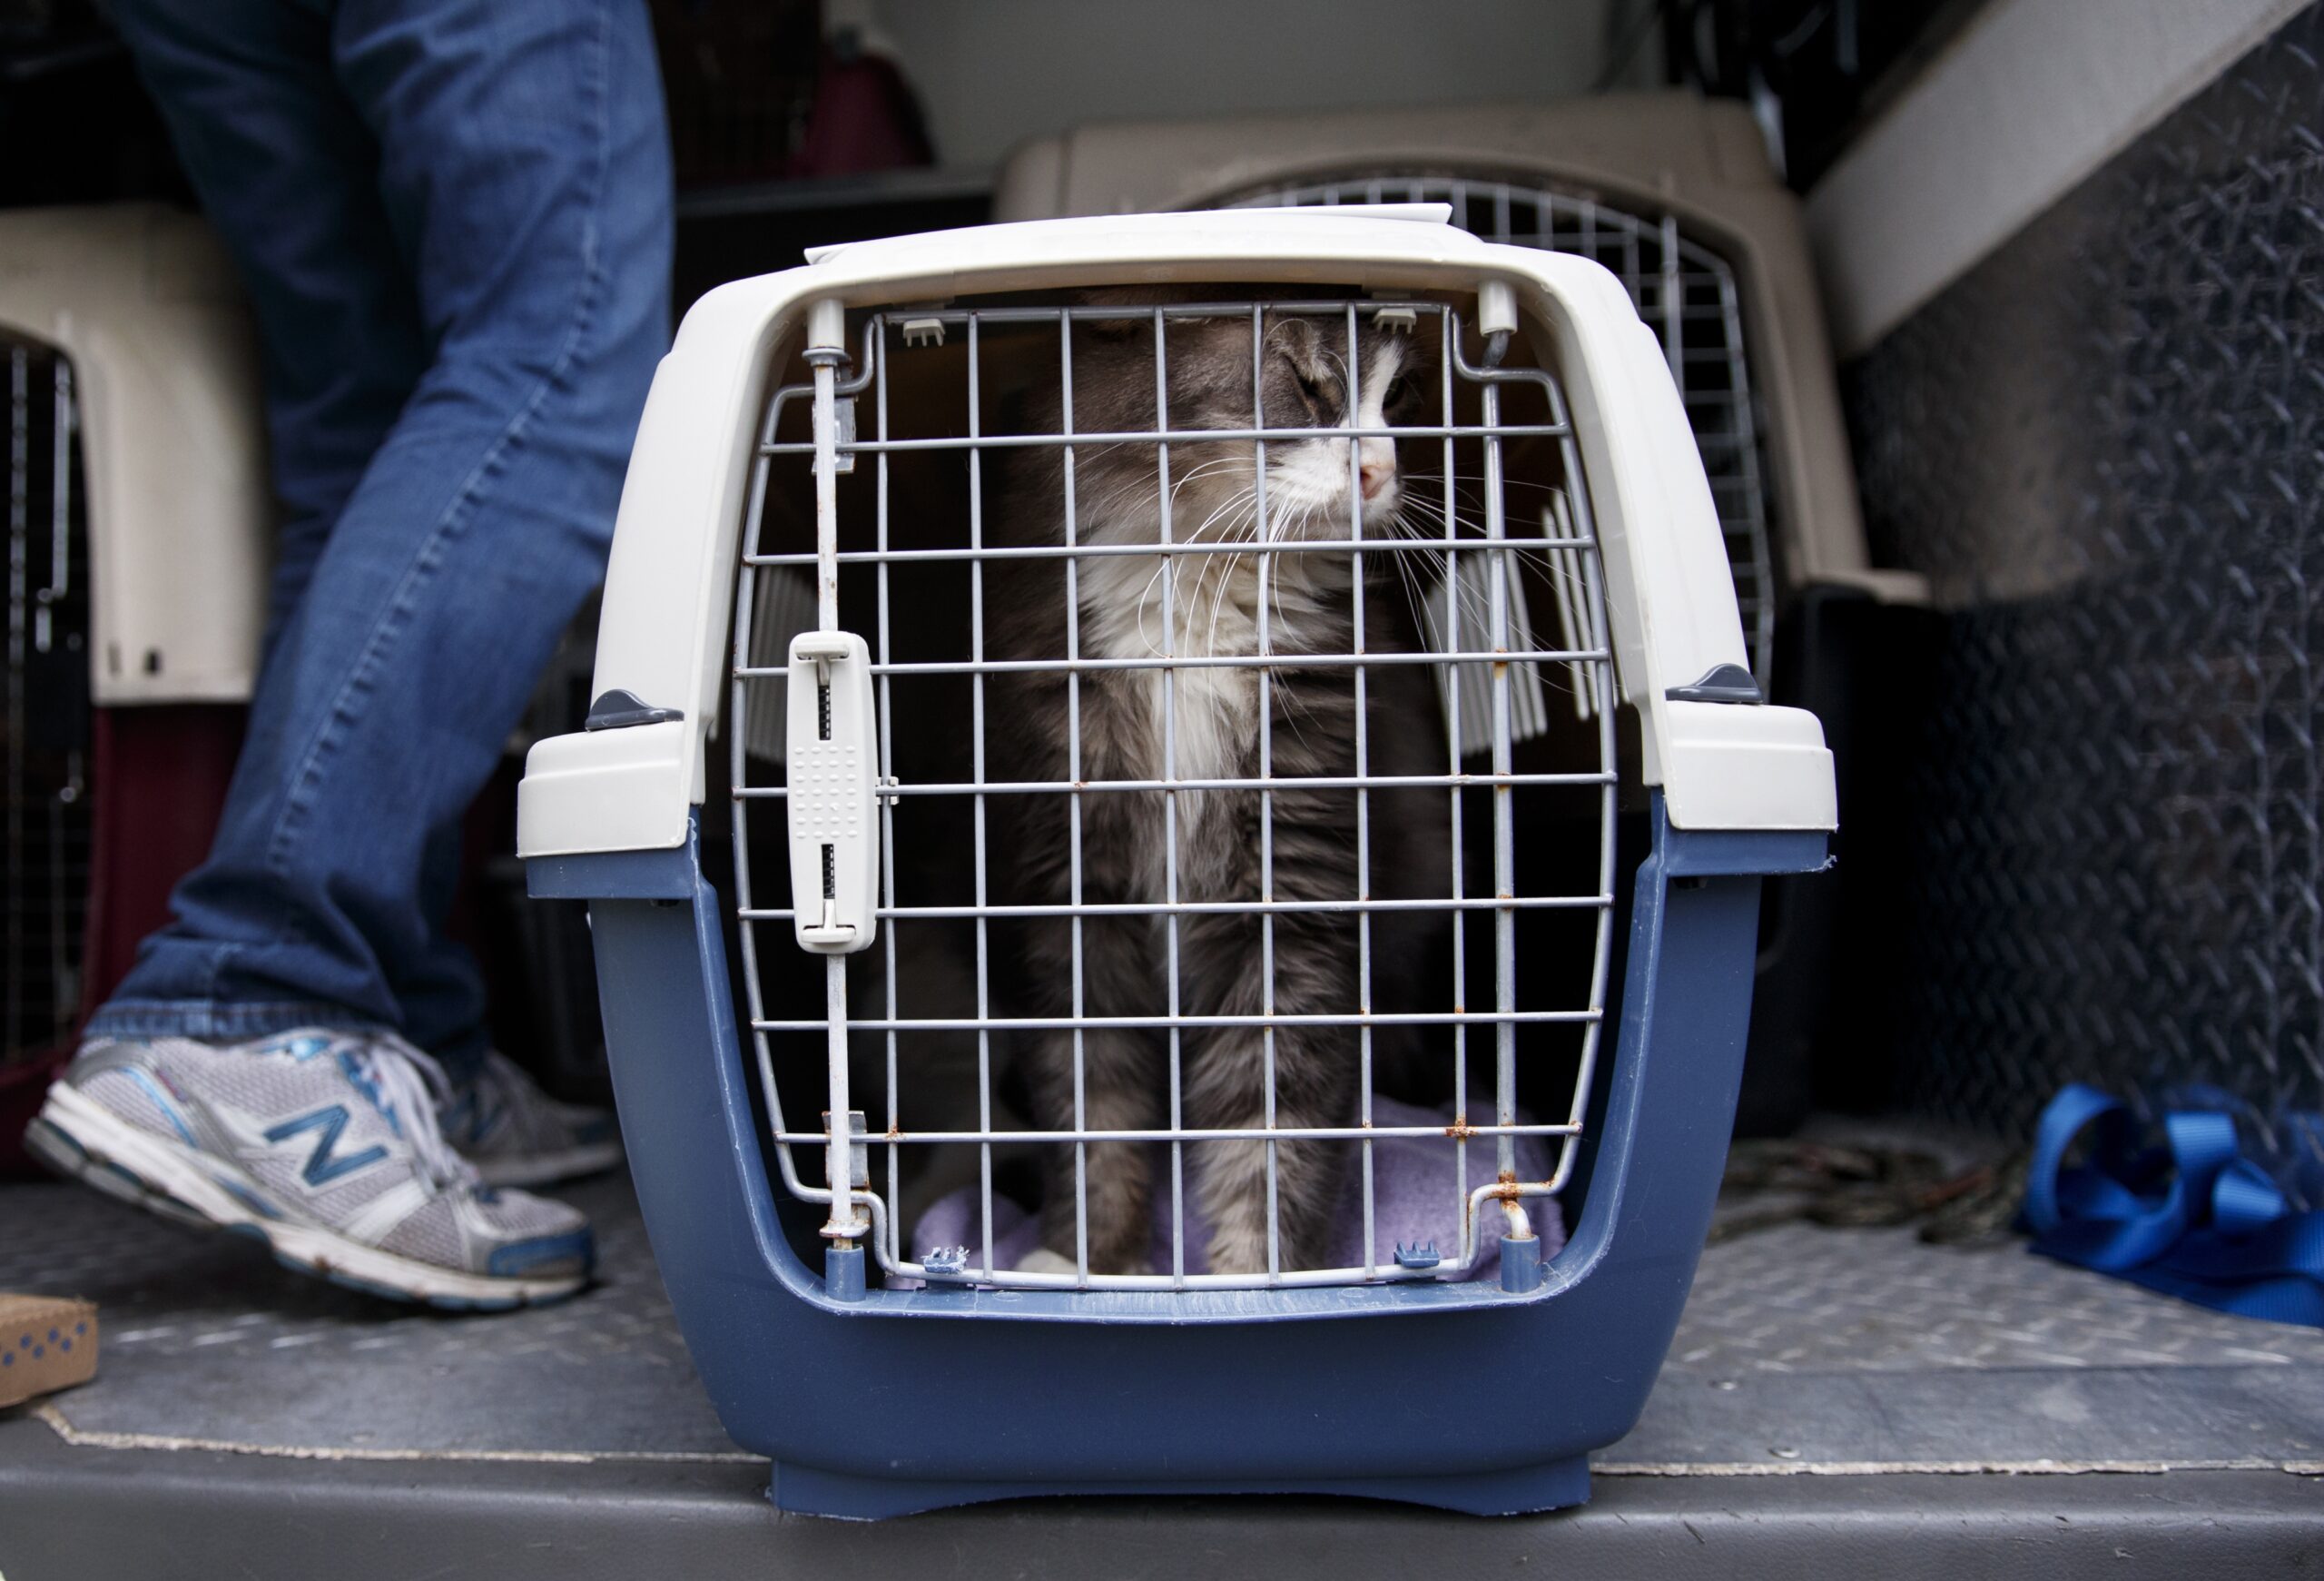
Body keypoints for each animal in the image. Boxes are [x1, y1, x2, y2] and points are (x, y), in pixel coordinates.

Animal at [985, 287, 1450, 1274]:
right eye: (1309, 385)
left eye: (1400, 399)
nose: (1381, 471)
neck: (1198, 602)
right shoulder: (1074, 892)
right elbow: (1095, 1106)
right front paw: (1085, 1258)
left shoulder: (1295, 896)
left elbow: (1271, 1127)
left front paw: (1255, 1277)